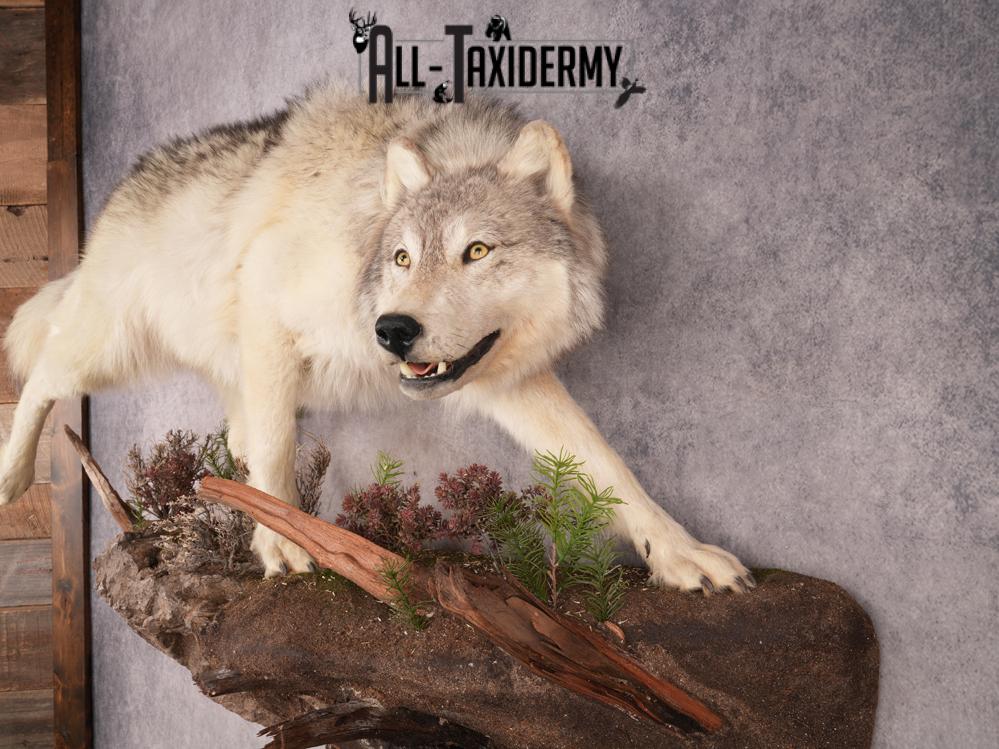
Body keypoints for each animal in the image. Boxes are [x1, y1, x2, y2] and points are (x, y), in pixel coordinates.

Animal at [0, 83, 751, 592]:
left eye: (477, 251)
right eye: (402, 258)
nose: (392, 331)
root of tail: (125, 185)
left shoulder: (503, 381)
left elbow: (609, 466)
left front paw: (682, 555)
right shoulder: (270, 311)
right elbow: (278, 451)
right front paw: (280, 545)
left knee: (238, 437)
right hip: (108, 351)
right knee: (40, 375)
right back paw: (11, 478)